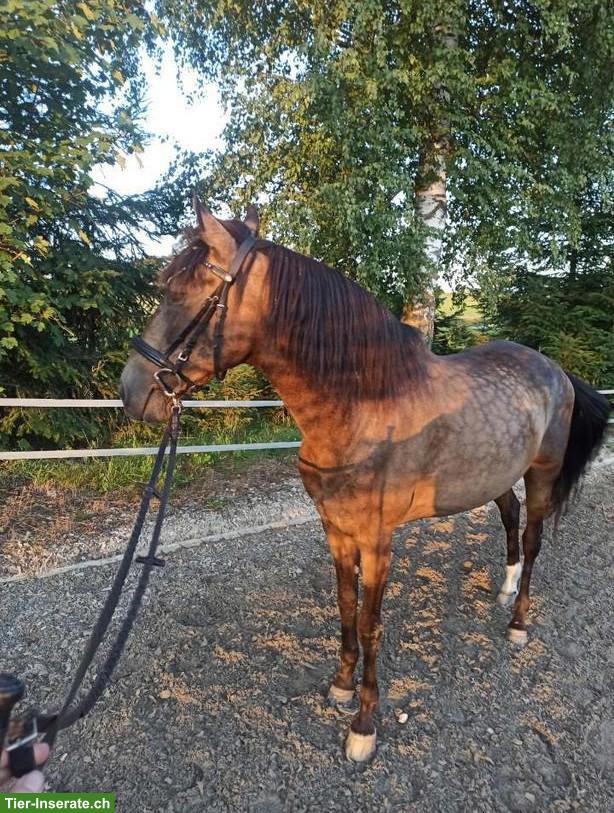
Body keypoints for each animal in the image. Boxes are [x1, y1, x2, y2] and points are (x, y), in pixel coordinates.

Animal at [119, 198, 610, 762]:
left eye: (180, 292)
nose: (131, 390)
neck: (364, 408)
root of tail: (556, 369)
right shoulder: (335, 528)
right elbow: (345, 606)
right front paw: (340, 685)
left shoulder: (377, 540)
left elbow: (372, 623)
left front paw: (363, 726)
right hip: (494, 475)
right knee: (509, 521)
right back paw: (504, 590)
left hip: (541, 476)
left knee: (531, 541)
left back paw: (518, 623)